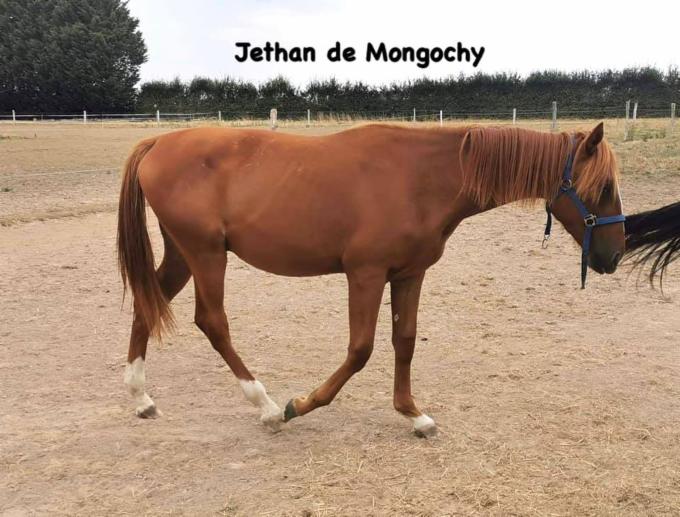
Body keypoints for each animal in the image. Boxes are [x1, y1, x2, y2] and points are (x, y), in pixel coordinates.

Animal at [117, 122, 625, 437]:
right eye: (602, 187)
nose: (615, 254)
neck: (421, 178)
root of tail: (158, 143)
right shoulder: (365, 274)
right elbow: (361, 350)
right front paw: (300, 404)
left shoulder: (409, 274)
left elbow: (405, 340)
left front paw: (414, 415)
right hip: (205, 255)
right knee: (212, 323)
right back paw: (266, 407)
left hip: (183, 255)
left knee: (148, 303)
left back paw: (141, 398)